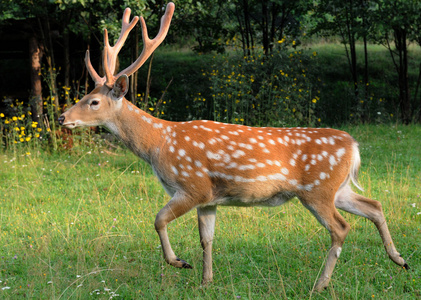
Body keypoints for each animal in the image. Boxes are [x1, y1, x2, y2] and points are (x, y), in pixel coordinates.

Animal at [58, 2, 406, 292]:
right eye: (86, 94)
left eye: (93, 102)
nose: (62, 117)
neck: (159, 145)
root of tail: (354, 145)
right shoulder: (209, 199)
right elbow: (207, 239)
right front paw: (206, 280)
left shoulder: (192, 186)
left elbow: (158, 220)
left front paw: (179, 262)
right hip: (338, 187)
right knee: (374, 205)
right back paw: (399, 259)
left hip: (317, 189)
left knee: (341, 227)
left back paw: (320, 284)